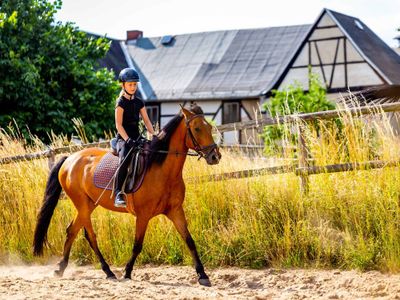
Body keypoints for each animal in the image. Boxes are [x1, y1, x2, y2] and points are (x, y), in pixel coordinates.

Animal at [32, 105, 222, 286]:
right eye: (197, 128)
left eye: (209, 127)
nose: (215, 156)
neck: (162, 169)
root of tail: (70, 159)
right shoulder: (143, 215)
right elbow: (137, 245)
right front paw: (127, 272)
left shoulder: (175, 211)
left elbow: (189, 240)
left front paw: (203, 275)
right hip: (82, 204)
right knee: (90, 236)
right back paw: (108, 271)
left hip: (89, 204)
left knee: (72, 230)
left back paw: (61, 268)